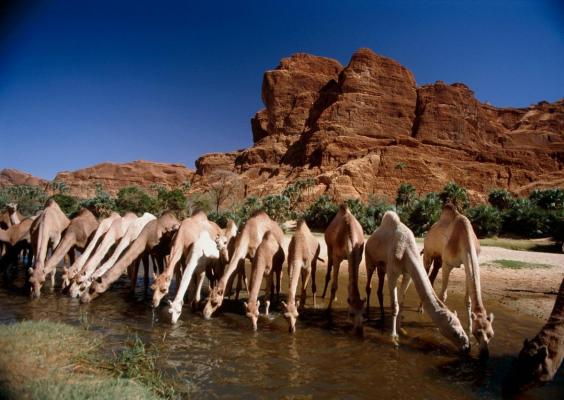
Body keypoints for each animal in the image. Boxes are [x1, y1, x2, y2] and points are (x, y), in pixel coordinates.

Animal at [322, 205, 366, 336]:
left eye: (364, 313)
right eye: (352, 314)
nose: (359, 331)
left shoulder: (358, 259)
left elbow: (349, 284)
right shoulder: (337, 257)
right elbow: (334, 285)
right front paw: (328, 310)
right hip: (329, 250)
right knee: (328, 274)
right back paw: (323, 296)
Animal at [364, 211, 470, 352]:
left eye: (461, 328)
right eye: (455, 332)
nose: (467, 346)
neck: (406, 249)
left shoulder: (407, 274)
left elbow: (401, 303)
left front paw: (401, 330)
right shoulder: (392, 273)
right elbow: (394, 305)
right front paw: (393, 337)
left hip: (381, 267)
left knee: (379, 290)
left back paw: (381, 318)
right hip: (369, 260)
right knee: (368, 285)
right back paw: (367, 314)